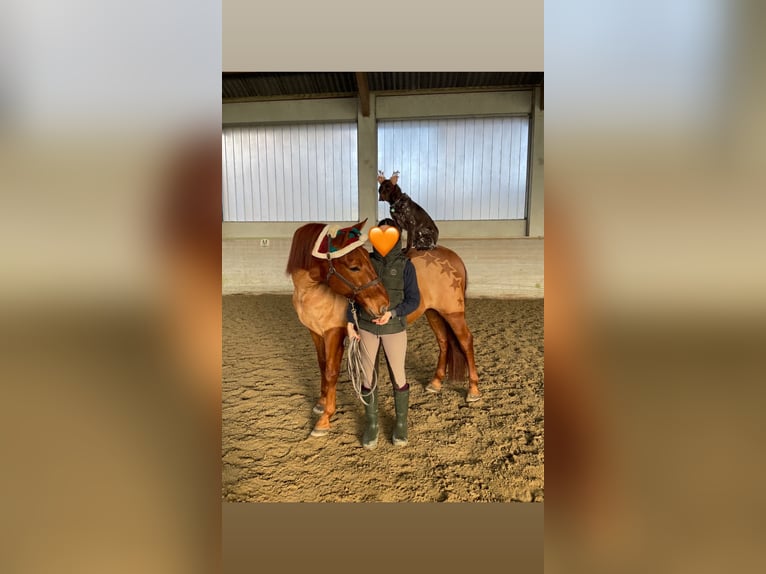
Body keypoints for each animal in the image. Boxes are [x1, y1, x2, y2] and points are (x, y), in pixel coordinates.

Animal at [286, 220, 481, 438]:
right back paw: (435, 383)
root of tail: (453, 258)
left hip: (453, 313)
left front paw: (324, 419)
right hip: (433, 313)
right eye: (354, 267)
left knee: (465, 341)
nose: (383, 306)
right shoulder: (316, 333)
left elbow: (330, 372)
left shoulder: (333, 334)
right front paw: (320, 404)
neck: (312, 292)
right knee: (444, 341)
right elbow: (322, 366)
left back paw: (473, 391)